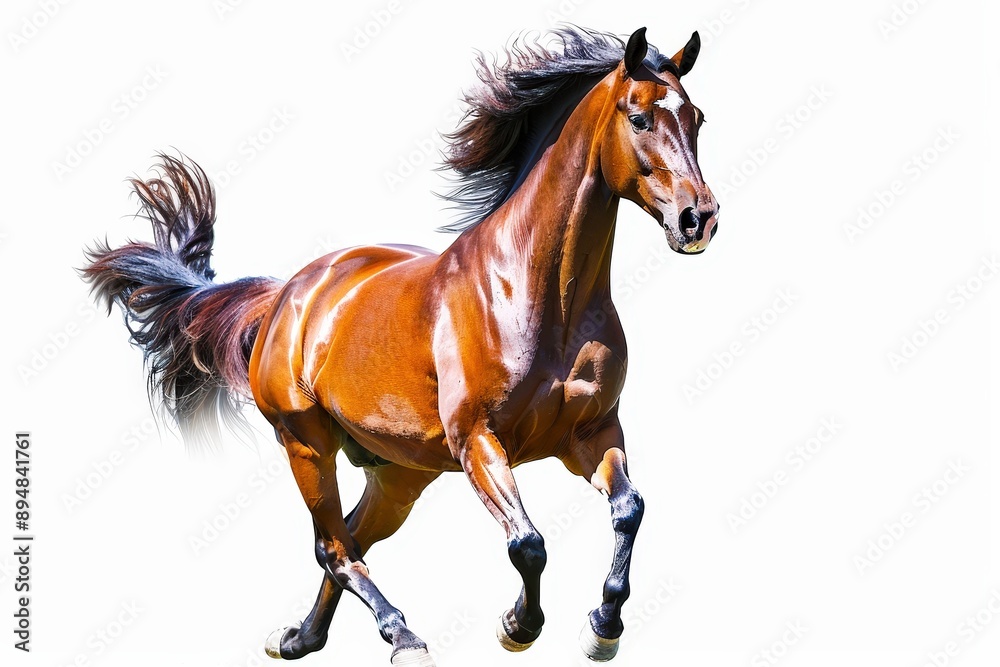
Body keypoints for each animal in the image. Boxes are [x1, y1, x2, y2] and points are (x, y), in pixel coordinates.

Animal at [83, 26, 718, 666]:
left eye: (697, 118)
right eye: (638, 118)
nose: (699, 219)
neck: (538, 295)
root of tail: (285, 296)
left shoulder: (591, 433)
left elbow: (629, 510)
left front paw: (603, 627)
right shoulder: (478, 442)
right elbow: (529, 543)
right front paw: (519, 625)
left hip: (401, 474)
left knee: (352, 538)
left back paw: (302, 637)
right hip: (306, 443)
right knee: (334, 547)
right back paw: (402, 636)